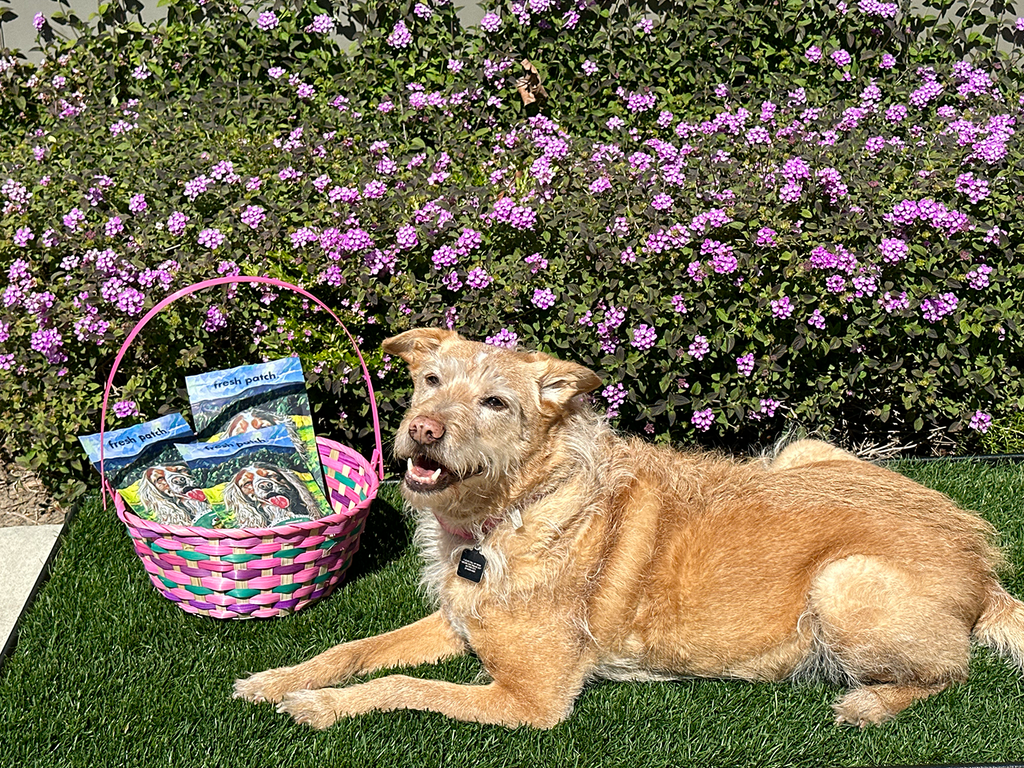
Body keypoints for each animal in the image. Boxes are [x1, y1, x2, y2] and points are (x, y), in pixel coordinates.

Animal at [232, 327, 1024, 729]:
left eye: (494, 402)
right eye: (431, 382)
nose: (423, 431)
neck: (509, 512)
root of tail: (983, 565)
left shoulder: (532, 701)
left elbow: (404, 686)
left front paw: (320, 707)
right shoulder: (458, 623)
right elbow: (355, 648)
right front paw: (280, 678)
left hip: (844, 579)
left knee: (951, 670)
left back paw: (868, 703)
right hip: (806, 449)